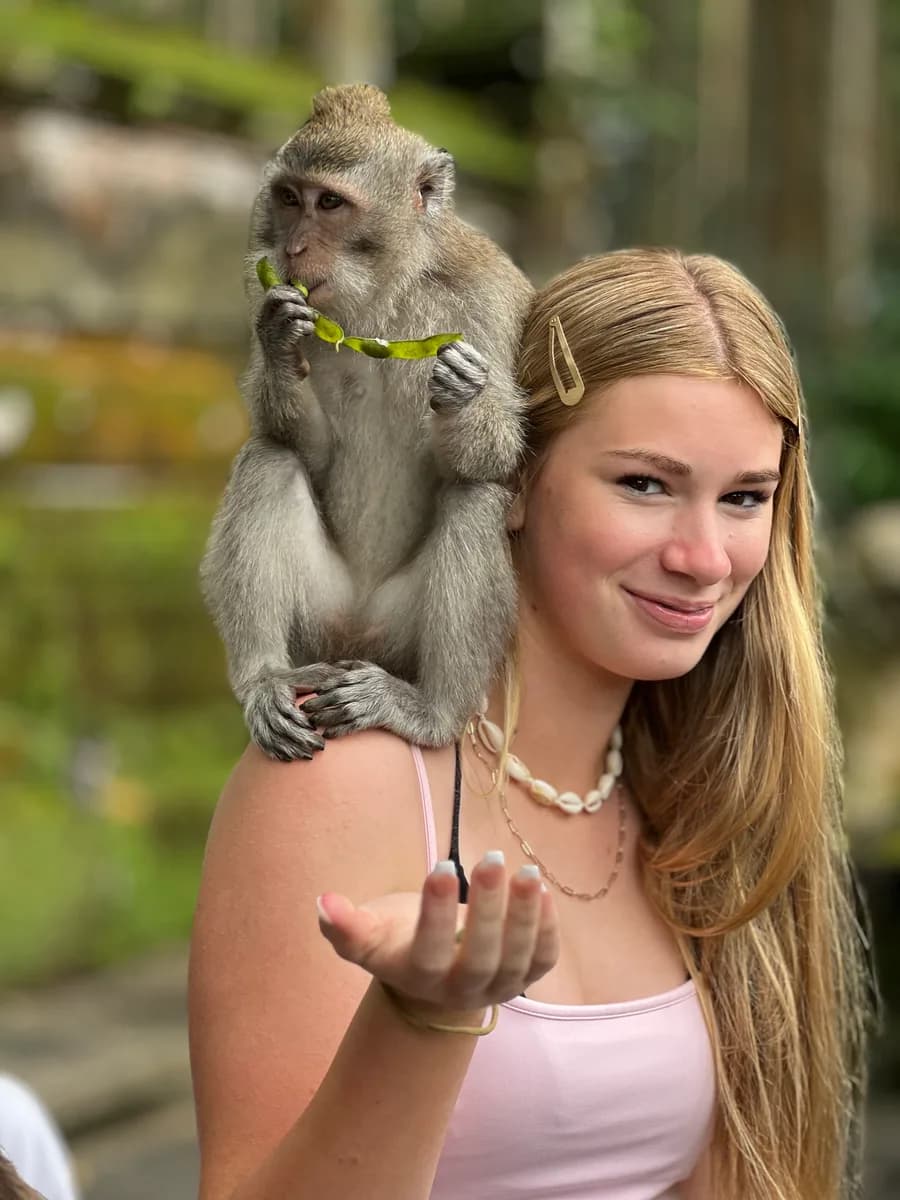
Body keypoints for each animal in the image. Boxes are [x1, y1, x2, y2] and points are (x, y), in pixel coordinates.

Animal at [200, 84, 534, 761]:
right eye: (289, 198)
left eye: (330, 203)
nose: (291, 250)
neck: (386, 292)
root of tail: (357, 634)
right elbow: (305, 446)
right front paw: (279, 338)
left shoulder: (485, 301)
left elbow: (489, 463)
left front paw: (462, 391)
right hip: (318, 621)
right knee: (269, 458)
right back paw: (265, 678)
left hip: (399, 632)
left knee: (475, 499)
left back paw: (432, 711)